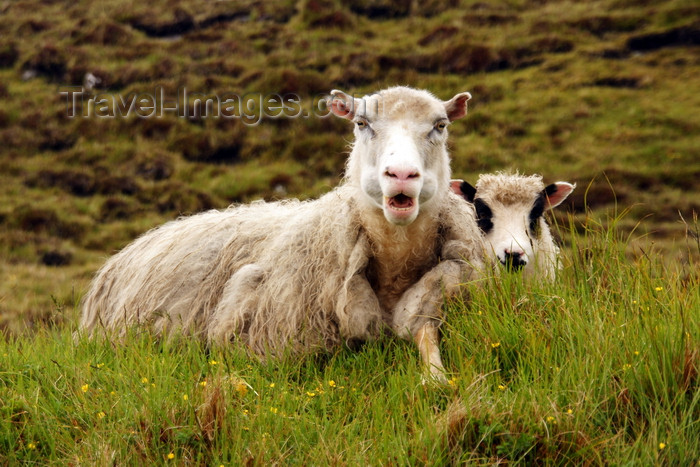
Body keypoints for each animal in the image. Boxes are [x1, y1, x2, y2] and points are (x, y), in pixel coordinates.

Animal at [80, 88, 486, 384]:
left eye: (440, 125)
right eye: (361, 122)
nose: (401, 175)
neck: (394, 264)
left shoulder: (435, 291)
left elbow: (427, 336)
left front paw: (435, 377)